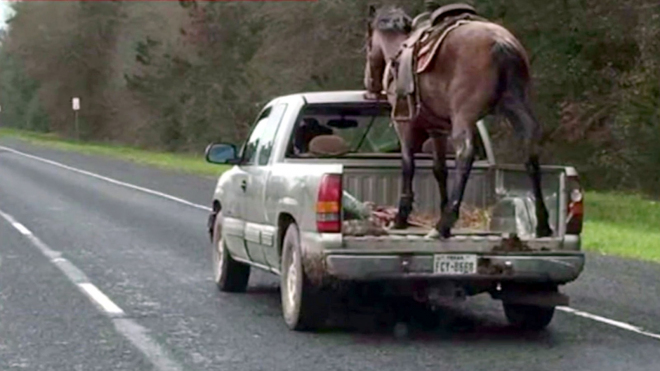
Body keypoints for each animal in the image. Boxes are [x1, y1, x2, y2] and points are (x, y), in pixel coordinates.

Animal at [364, 4, 556, 240]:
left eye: (368, 44)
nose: (369, 85)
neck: (398, 52)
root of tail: (501, 43)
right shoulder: (437, 129)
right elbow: (440, 170)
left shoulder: (405, 125)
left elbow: (408, 166)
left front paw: (401, 218)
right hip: (515, 107)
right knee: (530, 149)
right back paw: (543, 224)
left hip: (464, 117)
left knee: (465, 154)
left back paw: (443, 225)